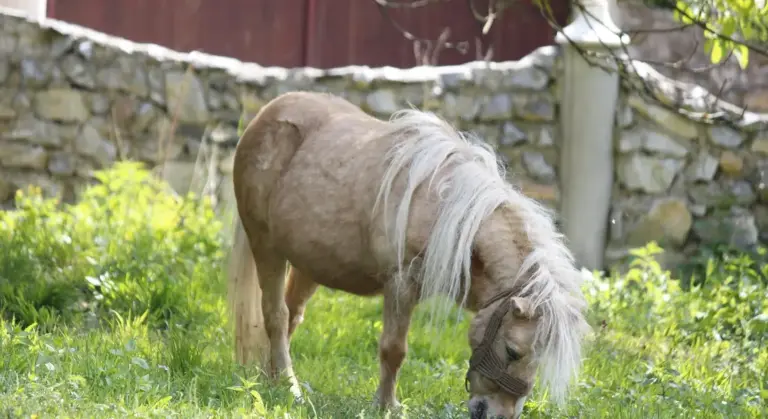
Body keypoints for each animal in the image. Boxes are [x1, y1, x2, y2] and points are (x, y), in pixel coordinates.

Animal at [226, 91, 590, 419]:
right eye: (513, 352)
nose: (499, 415)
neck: (445, 209)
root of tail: (266, 114)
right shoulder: (401, 284)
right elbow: (394, 349)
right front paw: (386, 406)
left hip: (310, 264)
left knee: (291, 315)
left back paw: (273, 380)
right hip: (266, 247)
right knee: (276, 316)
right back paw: (290, 388)